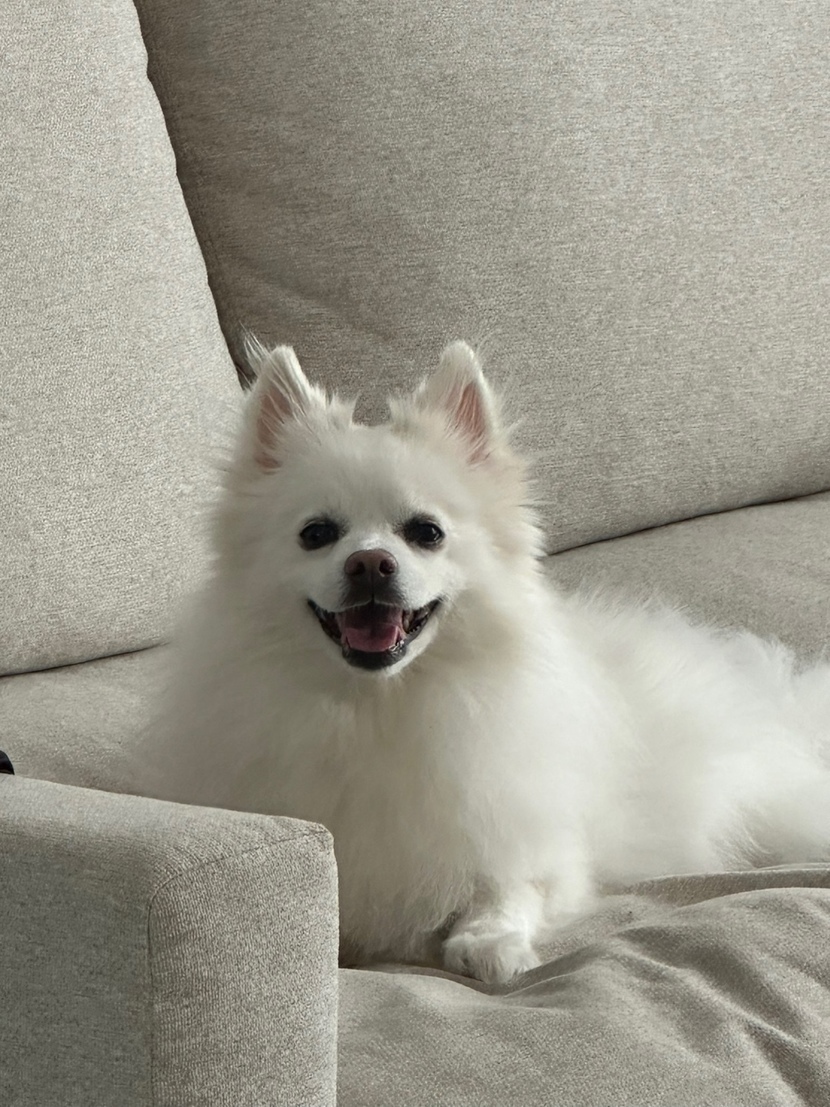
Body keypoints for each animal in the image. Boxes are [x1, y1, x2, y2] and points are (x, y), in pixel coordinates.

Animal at [143, 339, 830, 984]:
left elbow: (509, 884)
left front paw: (489, 942)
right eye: (316, 534)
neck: (381, 708)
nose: (370, 563)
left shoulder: (535, 840)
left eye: (426, 533)